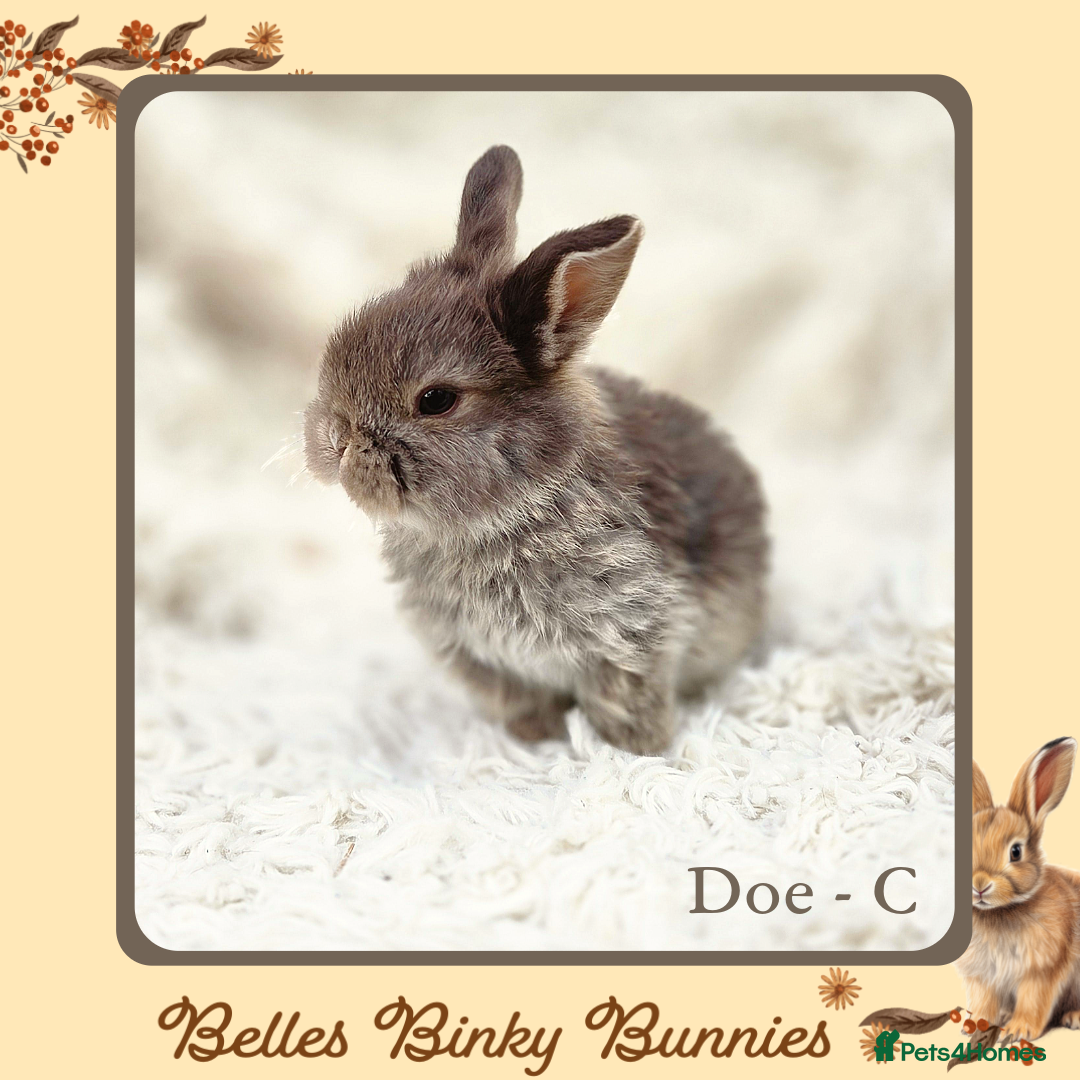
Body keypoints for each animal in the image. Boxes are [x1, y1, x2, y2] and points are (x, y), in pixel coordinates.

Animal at [304, 145, 768, 754]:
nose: (335, 440)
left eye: (436, 399)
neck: (505, 515)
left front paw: (638, 751)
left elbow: (622, 702)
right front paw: (536, 743)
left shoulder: (632, 637)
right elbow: (521, 703)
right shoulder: (481, 658)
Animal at [956, 737, 1080, 1041]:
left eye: (1015, 851)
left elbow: (1033, 1001)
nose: (979, 885)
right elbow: (983, 1001)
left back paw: (1073, 1017)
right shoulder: (983, 976)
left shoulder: (1041, 971)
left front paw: (1016, 1032)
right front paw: (973, 1025)